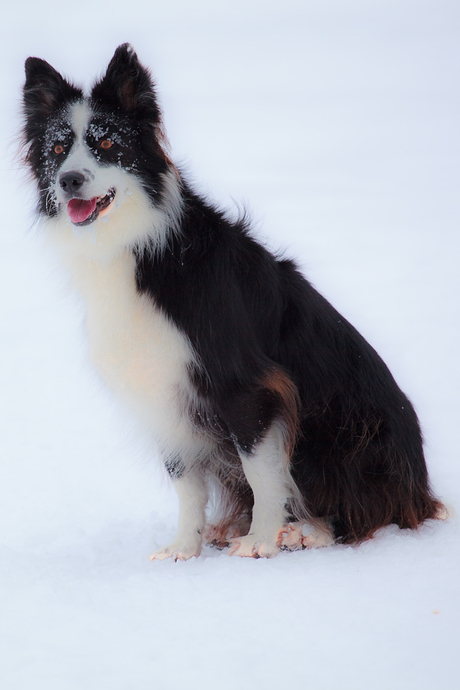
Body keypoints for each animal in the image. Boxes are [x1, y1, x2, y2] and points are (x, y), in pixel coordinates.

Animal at [21, 44, 442, 560]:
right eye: (58, 150)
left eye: (105, 144)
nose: (69, 180)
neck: (140, 246)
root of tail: (422, 488)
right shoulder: (162, 388)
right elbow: (185, 482)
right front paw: (184, 549)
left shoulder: (247, 384)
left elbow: (261, 470)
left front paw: (261, 540)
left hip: (347, 432)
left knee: (367, 512)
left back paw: (306, 531)